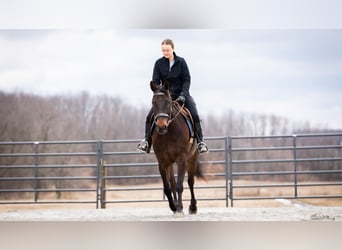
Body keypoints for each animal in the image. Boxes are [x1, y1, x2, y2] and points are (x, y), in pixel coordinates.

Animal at [150, 81, 203, 214]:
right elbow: (168, 187)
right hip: (170, 162)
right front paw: (174, 207)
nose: (161, 126)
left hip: (192, 159)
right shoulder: (162, 162)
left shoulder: (181, 159)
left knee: (190, 182)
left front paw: (179, 208)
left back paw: (192, 207)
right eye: (153, 102)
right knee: (172, 183)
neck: (169, 132)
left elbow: (180, 185)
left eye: (168, 102)